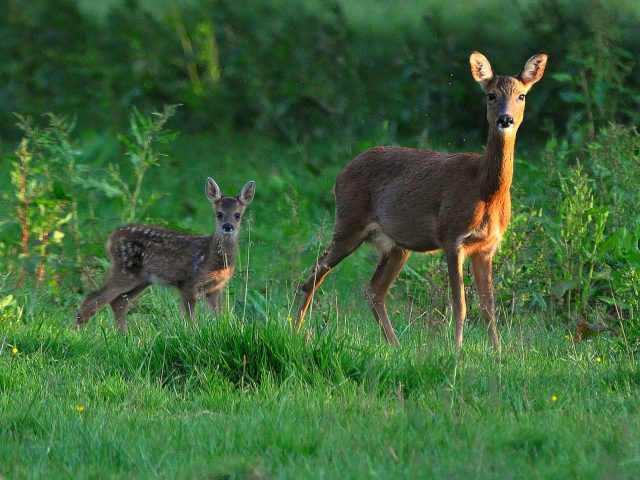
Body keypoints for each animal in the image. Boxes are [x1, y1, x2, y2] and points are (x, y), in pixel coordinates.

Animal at [76, 178, 256, 332]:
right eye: (219, 214)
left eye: (237, 215)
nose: (228, 226)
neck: (210, 258)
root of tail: (111, 238)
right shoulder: (188, 282)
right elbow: (190, 319)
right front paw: (192, 335)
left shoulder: (215, 287)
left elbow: (219, 315)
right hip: (125, 270)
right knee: (94, 298)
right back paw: (78, 333)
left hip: (142, 279)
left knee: (118, 301)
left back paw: (125, 336)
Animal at [294, 51, 547, 350]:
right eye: (491, 95)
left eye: (521, 95)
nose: (505, 119)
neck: (484, 189)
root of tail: (341, 173)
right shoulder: (452, 237)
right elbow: (460, 304)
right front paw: (457, 351)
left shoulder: (487, 246)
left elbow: (489, 306)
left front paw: (497, 353)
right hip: (348, 223)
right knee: (314, 275)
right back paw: (295, 331)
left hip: (396, 245)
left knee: (373, 289)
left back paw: (395, 346)